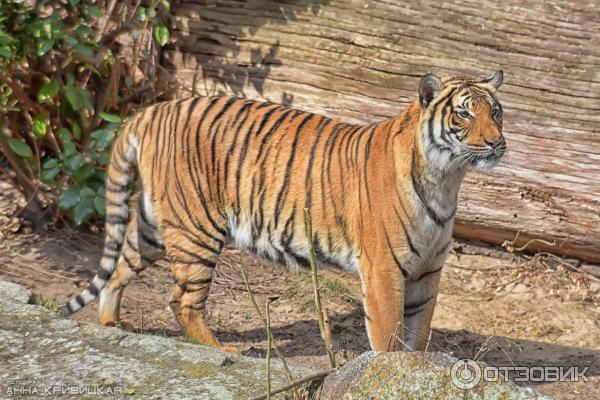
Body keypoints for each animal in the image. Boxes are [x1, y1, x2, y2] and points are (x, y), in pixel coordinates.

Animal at [63, 70, 506, 352]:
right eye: (464, 112)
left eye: (496, 111)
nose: (497, 143)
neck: (446, 178)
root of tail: (153, 110)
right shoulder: (384, 269)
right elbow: (390, 336)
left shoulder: (428, 271)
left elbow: (419, 333)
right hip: (196, 230)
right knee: (182, 300)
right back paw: (221, 350)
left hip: (156, 225)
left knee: (120, 266)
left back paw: (112, 323)